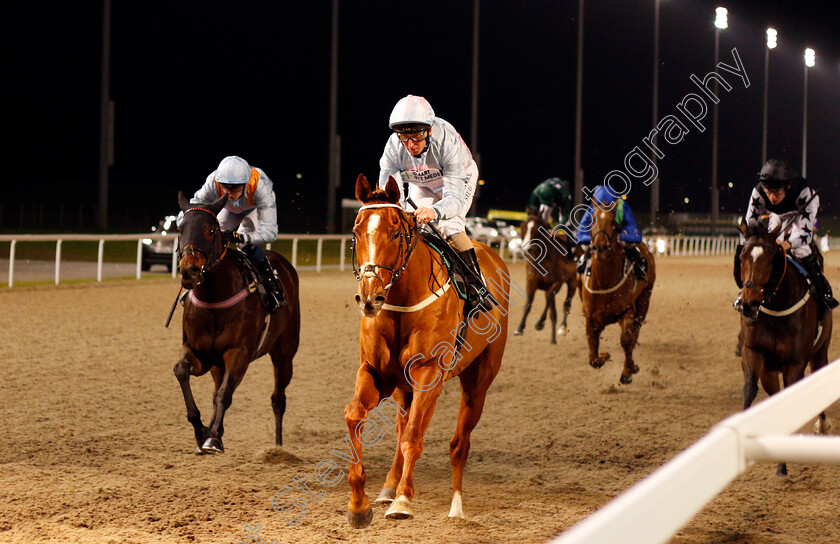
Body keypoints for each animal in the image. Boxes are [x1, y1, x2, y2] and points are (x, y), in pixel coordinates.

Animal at [172, 192, 300, 454]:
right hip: (218, 364)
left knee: (278, 399)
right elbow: (181, 371)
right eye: (180, 228)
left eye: (211, 230)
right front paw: (201, 431)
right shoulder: (200, 352)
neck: (214, 298)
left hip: (284, 353)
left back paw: (278, 447)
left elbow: (225, 393)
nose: (189, 270)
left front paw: (213, 437)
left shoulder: (239, 352)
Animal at [342, 173, 512, 528]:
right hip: (404, 388)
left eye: (395, 232)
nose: (369, 297)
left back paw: (456, 506)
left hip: (478, 380)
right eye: (356, 231)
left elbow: (413, 437)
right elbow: (355, 416)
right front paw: (360, 505)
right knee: (401, 427)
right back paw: (388, 487)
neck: (401, 303)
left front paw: (404, 500)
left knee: (459, 443)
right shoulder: (376, 373)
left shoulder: (429, 373)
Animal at [512, 214, 576, 344]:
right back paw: (553, 340)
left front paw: (540, 323)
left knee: (566, 304)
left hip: (573, 282)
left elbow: (549, 299)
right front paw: (520, 328)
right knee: (553, 313)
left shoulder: (557, 283)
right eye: (523, 227)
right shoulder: (530, 283)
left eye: (536, 229)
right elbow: (528, 304)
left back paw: (562, 328)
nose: (526, 249)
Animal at [576, 200, 656, 382]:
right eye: (592, 220)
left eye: (614, 223)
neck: (604, 283)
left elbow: (626, 340)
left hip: (645, 298)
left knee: (636, 329)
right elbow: (593, 357)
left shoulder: (627, 310)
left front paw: (629, 370)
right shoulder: (590, 316)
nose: (600, 247)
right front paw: (604, 355)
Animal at [740, 219, 832, 474]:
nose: (748, 304)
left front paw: (782, 464)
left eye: (771, 258)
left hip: (820, 352)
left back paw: (821, 425)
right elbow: (750, 389)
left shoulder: (795, 362)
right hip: (770, 370)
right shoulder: (754, 353)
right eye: (742, 256)